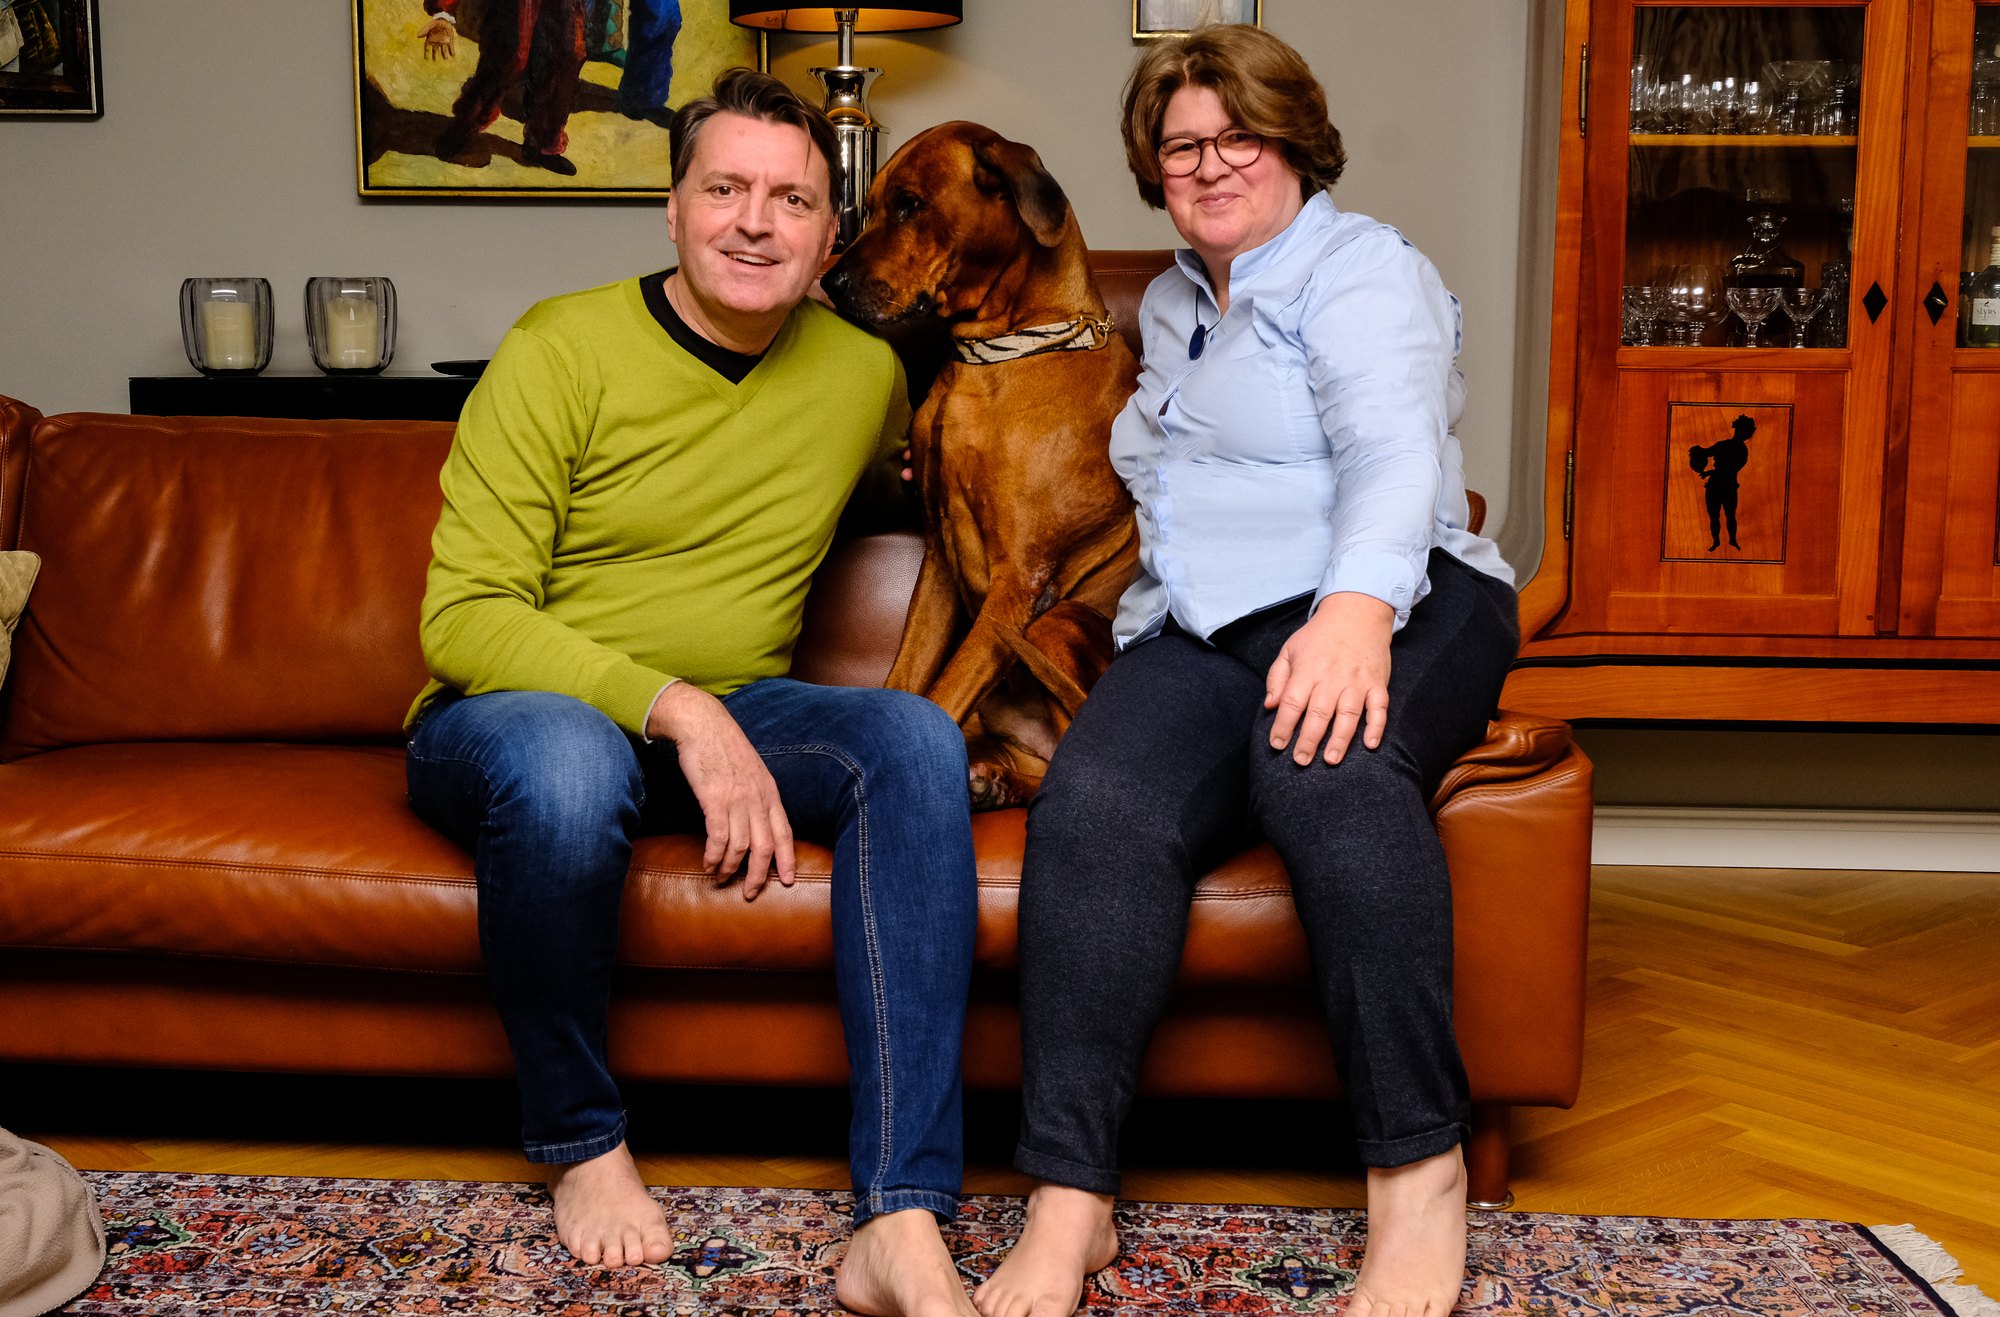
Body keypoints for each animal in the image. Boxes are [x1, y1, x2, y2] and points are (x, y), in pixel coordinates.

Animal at [823, 122, 1140, 809]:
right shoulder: (940, 566)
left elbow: (940, 696)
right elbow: (907, 683)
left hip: (1057, 623)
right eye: (870, 205)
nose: (830, 284)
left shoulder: (1018, 584)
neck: (998, 358)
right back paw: (990, 781)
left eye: (910, 205)